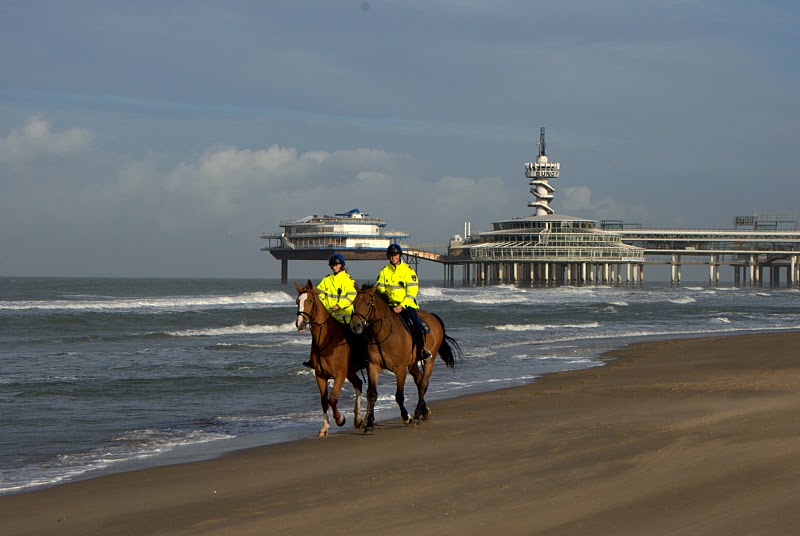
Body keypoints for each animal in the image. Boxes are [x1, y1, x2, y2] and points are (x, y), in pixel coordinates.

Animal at [296, 280, 368, 436]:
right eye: (297, 301)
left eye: (310, 300)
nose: (300, 323)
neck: (325, 341)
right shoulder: (320, 375)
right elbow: (324, 400)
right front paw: (325, 427)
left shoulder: (340, 374)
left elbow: (333, 399)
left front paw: (340, 419)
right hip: (350, 372)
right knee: (358, 384)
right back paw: (358, 419)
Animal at [346, 282, 460, 434]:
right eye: (354, 303)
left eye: (369, 303)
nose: (355, 326)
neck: (383, 335)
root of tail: (432, 317)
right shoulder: (373, 366)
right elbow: (372, 394)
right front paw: (369, 424)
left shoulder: (400, 369)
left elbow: (399, 396)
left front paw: (407, 418)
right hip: (412, 364)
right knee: (419, 380)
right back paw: (424, 412)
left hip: (430, 359)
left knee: (423, 383)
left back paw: (417, 414)